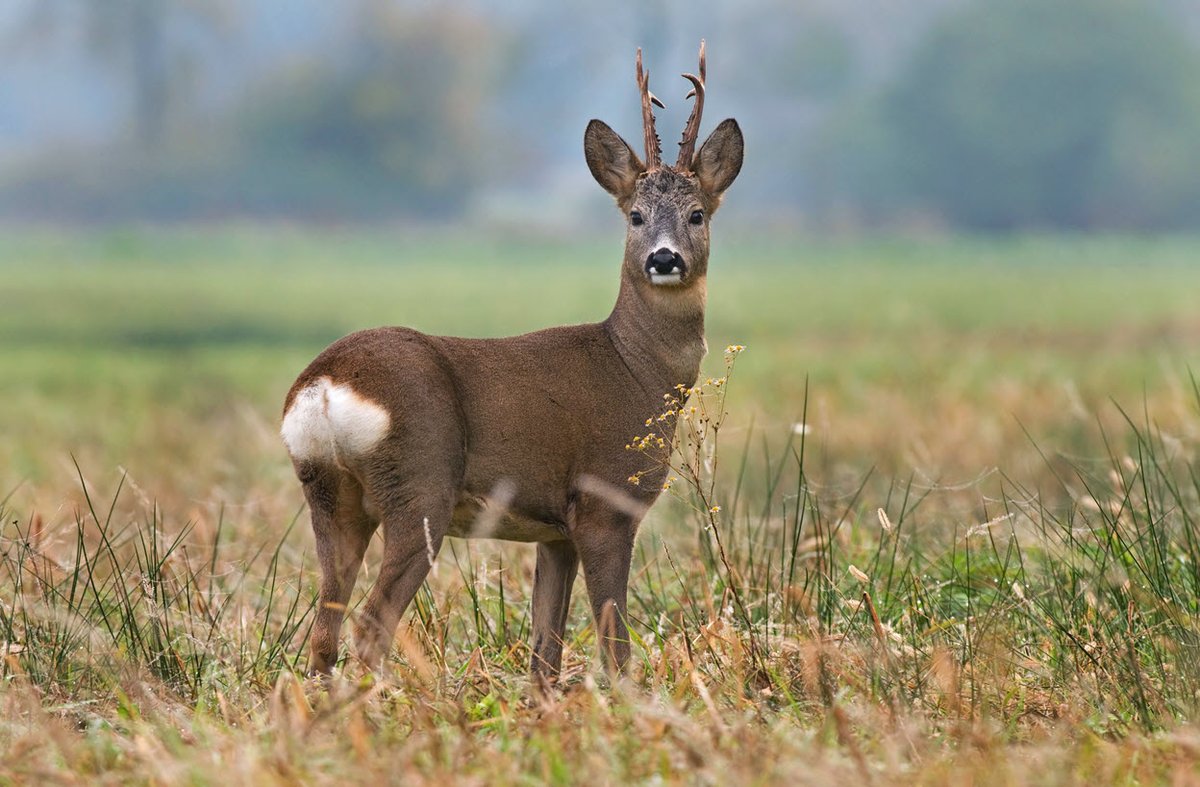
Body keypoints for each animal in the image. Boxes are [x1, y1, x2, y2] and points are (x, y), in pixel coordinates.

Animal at [280, 41, 743, 683]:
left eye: (697, 213)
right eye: (635, 216)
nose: (665, 258)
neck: (636, 369)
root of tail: (323, 386)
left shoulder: (556, 533)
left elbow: (544, 653)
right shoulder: (603, 502)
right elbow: (614, 643)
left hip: (330, 495)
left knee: (324, 630)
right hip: (420, 485)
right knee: (370, 622)